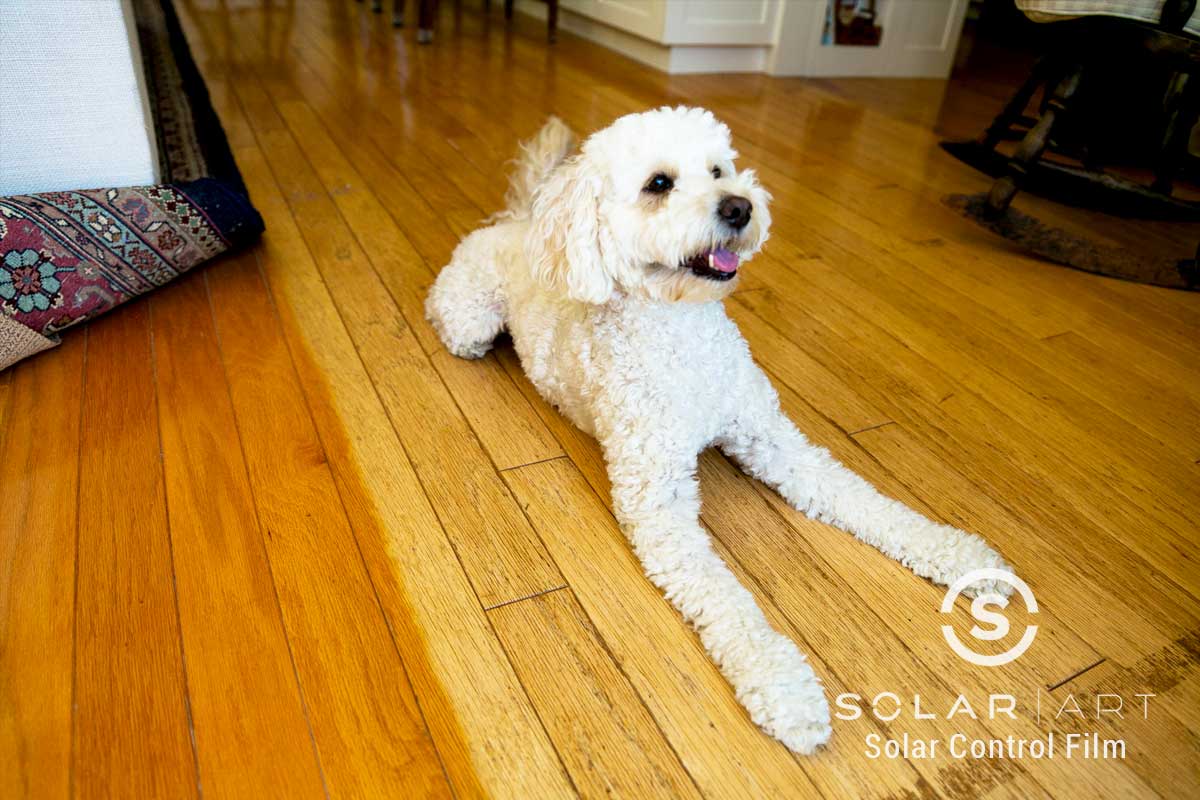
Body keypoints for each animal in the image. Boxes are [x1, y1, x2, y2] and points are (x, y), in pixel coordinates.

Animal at [427, 107, 1008, 758]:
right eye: (659, 184)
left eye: (718, 170)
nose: (739, 207)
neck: (685, 337)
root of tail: (519, 221)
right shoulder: (658, 504)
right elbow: (725, 599)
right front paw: (782, 686)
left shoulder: (774, 441)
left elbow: (861, 498)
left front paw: (958, 555)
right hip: (471, 321)